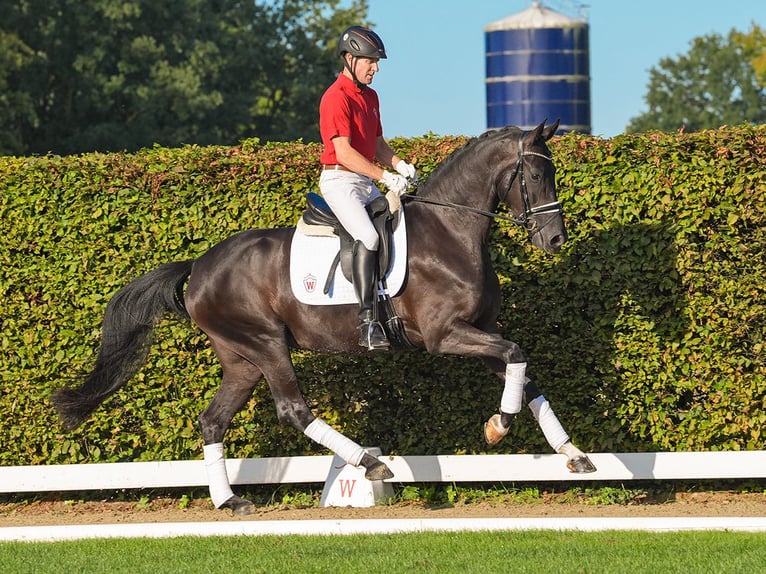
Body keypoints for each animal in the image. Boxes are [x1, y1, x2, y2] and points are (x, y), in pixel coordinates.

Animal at [51, 119, 596, 516]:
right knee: (293, 409)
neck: (452, 230)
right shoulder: (447, 336)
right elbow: (517, 358)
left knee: (212, 420)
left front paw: (571, 453)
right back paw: (370, 464)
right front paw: (498, 427)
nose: (555, 240)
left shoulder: (481, 332)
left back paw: (230, 501)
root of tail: (200, 265)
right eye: (535, 176)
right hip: (266, 343)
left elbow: (523, 374)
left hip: (242, 359)